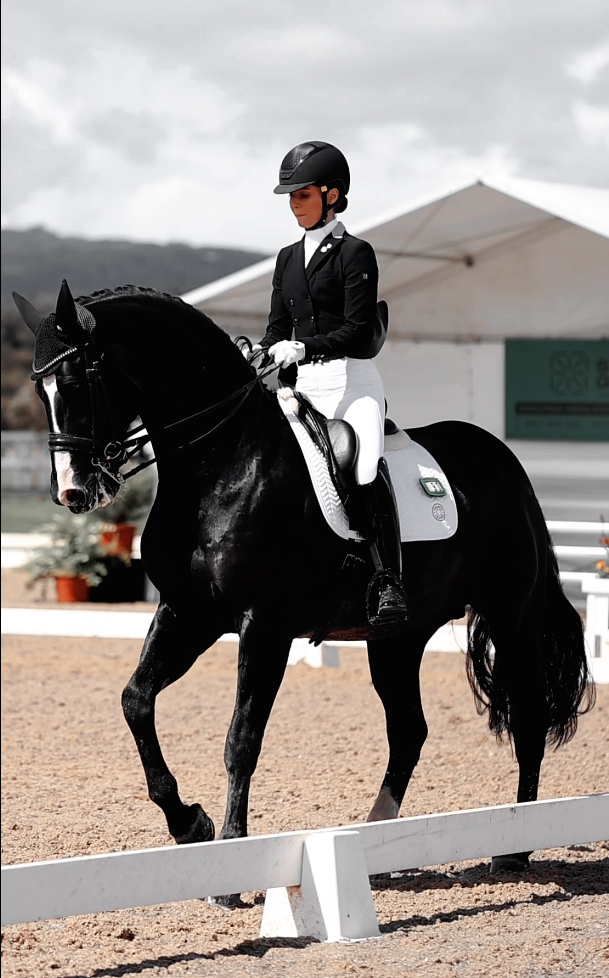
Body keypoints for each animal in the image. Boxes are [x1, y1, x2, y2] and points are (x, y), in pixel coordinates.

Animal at [16, 281, 594, 893]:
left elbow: (242, 738)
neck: (219, 464)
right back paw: (376, 842)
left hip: (512, 617)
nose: (74, 492)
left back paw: (516, 848)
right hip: (398, 637)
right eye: (39, 388)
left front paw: (230, 863)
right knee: (408, 731)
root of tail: (508, 464)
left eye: (76, 382)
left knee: (527, 719)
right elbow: (135, 700)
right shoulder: (187, 613)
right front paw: (189, 823)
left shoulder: (264, 626)